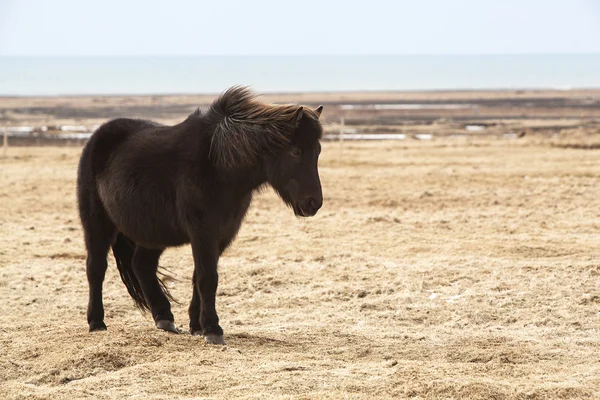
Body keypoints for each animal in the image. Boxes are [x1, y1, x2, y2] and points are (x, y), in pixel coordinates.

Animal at [79, 86, 326, 344]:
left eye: (317, 150)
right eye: (296, 151)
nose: (313, 203)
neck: (219, 165)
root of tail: (98, 137)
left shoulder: (223, 234)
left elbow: (199, 276)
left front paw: (197, 326)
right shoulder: (203, 231)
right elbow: (208, 277)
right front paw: (213, 330)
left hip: (152, 232)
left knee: (142, 265)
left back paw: (164, 318)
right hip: (98, 225)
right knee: (96, 268)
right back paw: (97, 322)